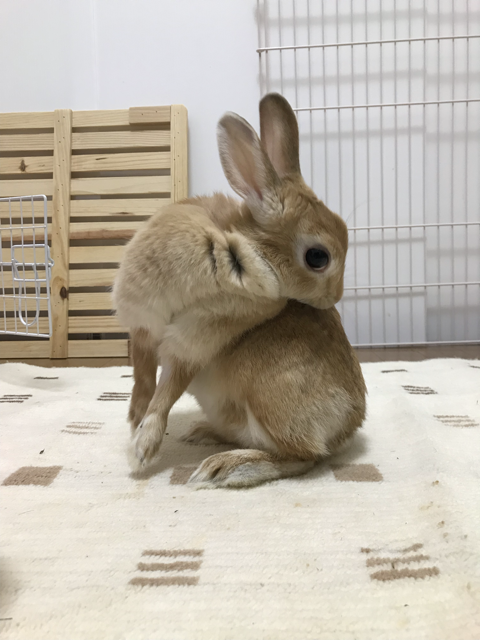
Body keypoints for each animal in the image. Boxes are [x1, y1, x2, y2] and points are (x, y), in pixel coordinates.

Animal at [113, 92, 368, 488]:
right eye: (318, 257)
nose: (334, 298)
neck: (240, 248)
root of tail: (349, 425)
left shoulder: (196, 339)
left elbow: (168, 391)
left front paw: (143, 448)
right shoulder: (143, 323)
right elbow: (142, 376)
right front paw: (135, 422)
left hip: (268, 400)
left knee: (304, 457)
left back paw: (226, 468)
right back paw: (202, 434)